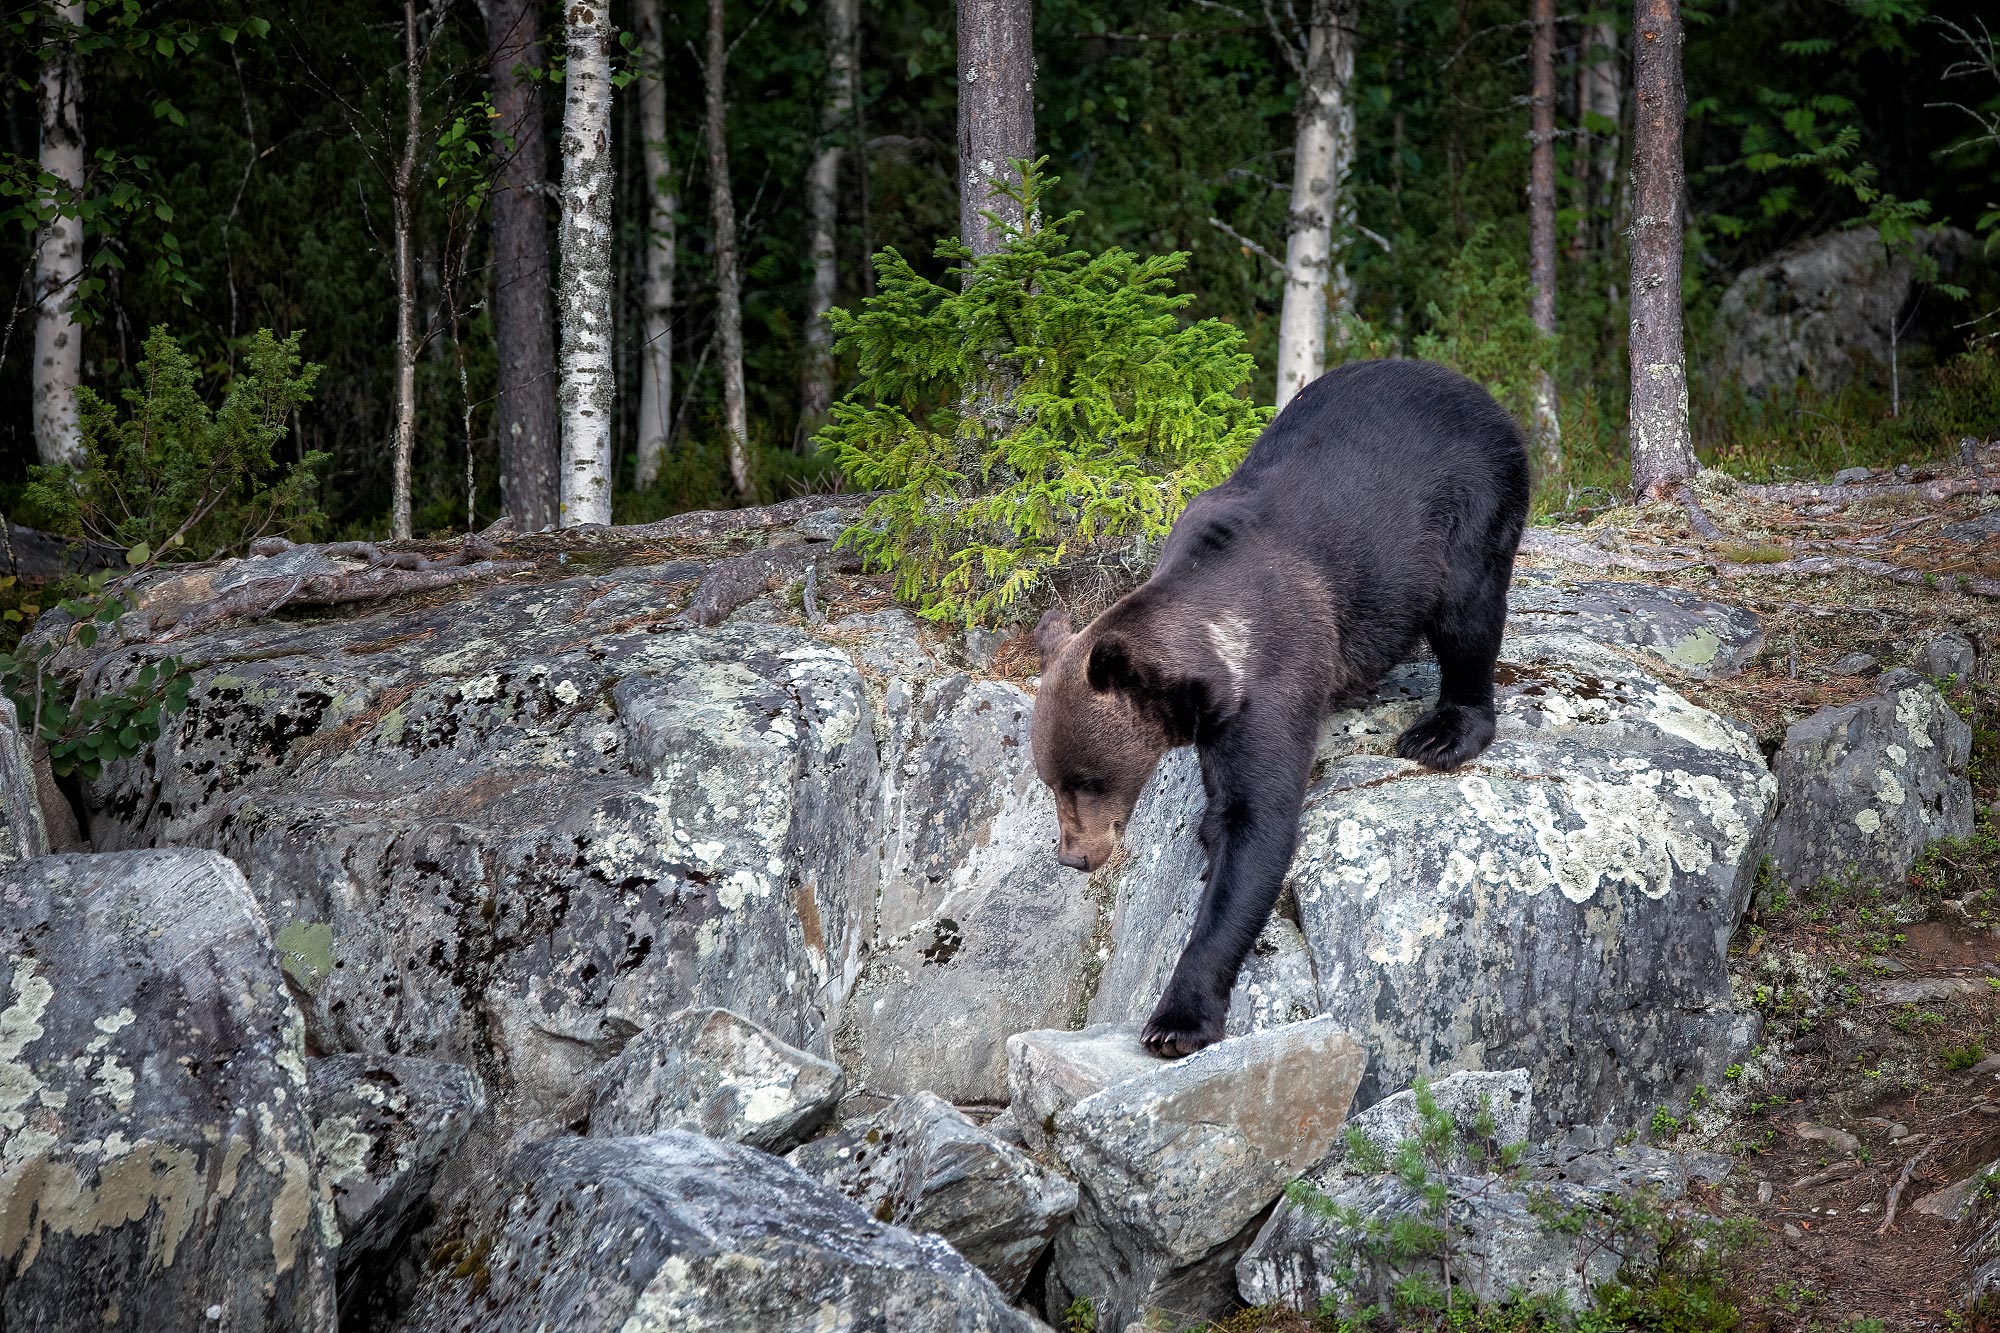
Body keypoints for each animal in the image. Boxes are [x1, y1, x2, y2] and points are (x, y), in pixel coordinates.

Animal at [1032, 358, 1528, 1056]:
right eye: (1050, 780)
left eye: (1090, 779)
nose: (1074, 856)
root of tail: (1480, 392)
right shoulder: (1218, 720)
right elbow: (1224, 807)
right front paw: (1207, 833)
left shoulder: (1275, 682)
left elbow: (1259, 826)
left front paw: (1176, 1018)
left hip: (1473, 500)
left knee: (1468, 609)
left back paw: (1444, 730)